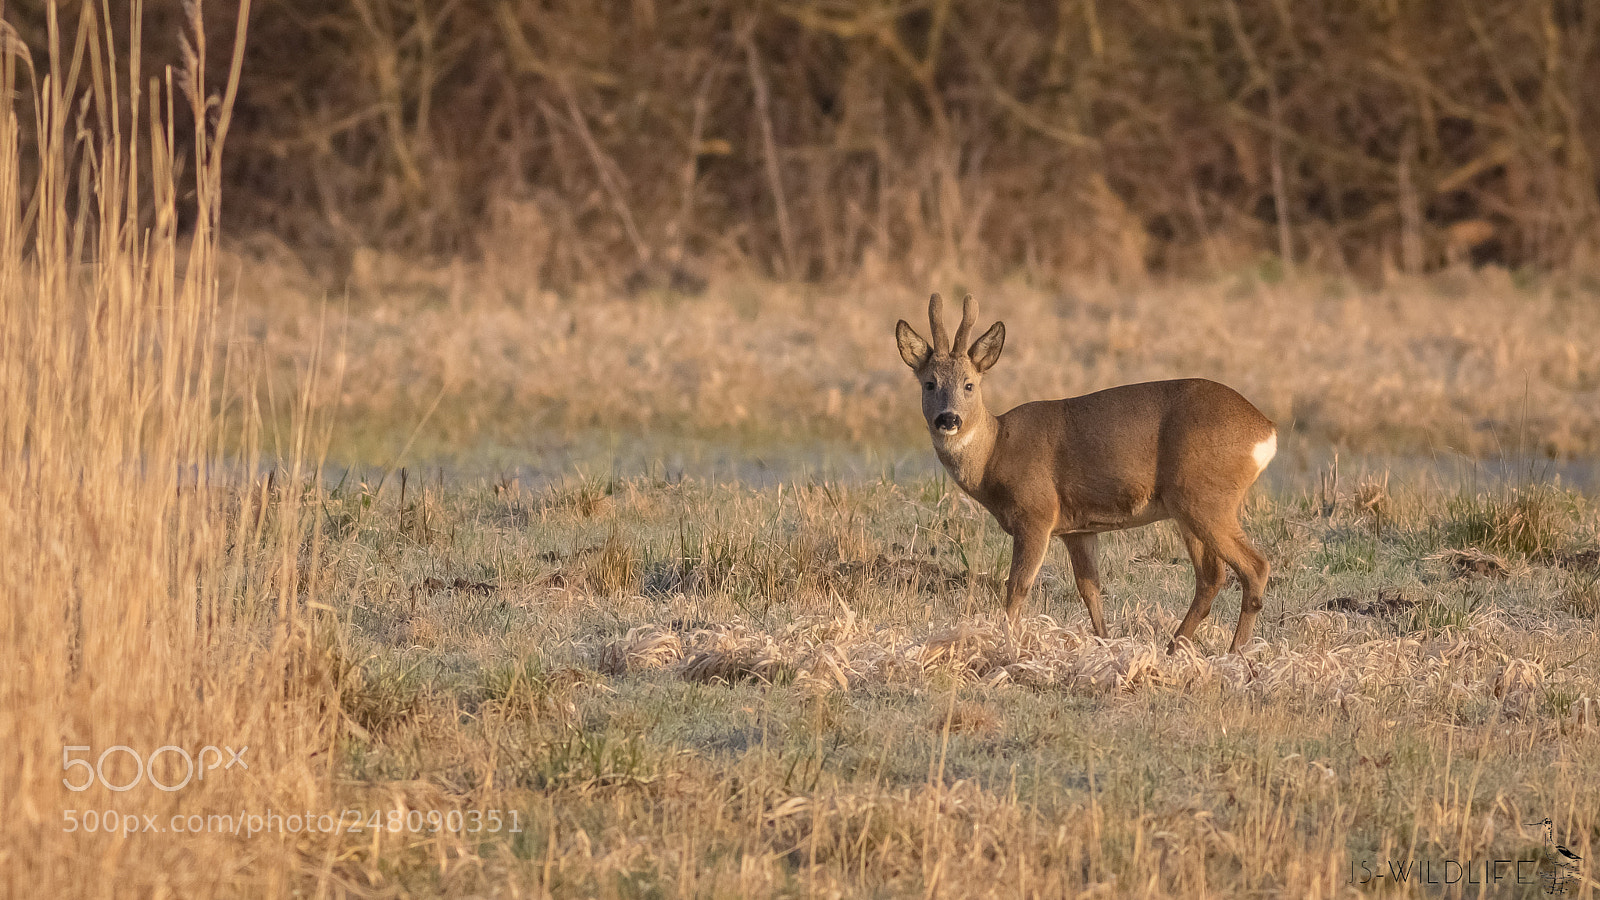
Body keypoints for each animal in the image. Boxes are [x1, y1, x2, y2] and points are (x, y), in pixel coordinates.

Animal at [895, 293, 1277, 655]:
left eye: (969, 384)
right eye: (929, 383)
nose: (948, 419)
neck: (996, 452)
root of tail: (1266, 430)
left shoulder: (1036, 514)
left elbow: (1017, 589)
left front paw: (1008, 645)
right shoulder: (1078, 529)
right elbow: (1090, 590)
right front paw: (1105, 646)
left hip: (1205, 498)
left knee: (1255, 567)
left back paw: (1235, 653)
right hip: (1190, 508)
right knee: (1211, 577)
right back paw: (1174, 649)